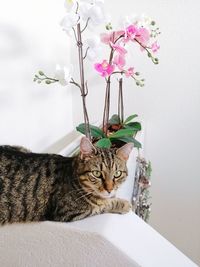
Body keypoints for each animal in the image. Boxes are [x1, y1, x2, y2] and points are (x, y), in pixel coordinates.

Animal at [0, 137, 133, 225]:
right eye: (97, 174)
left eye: (117, 174)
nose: (109, 189)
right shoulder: (68, 212)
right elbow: (102, 205)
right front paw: (123, 204)